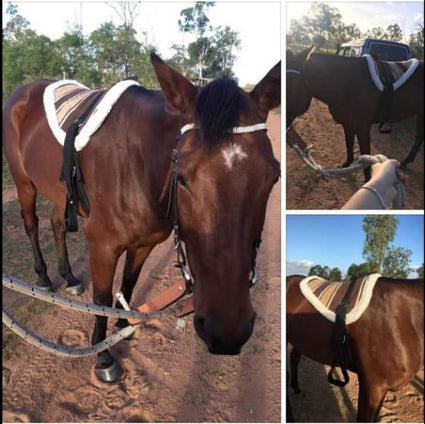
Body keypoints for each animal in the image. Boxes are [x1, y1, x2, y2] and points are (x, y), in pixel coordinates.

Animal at [3, 54, 282, 382]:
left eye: (273, 177)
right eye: (181, 177)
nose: (227, 332)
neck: (137, 166)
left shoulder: (144, 244)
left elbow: (128, 284)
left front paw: (124, 326)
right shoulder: (102, 246)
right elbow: (102, 299)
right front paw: (104, 355)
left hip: (58, 190)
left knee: (57, 224)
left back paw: (69, 277)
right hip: (24, 183)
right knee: (31, 224)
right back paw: (45, 278)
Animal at [286, 46, 422, 179]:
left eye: (290, 90)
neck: (348, 84)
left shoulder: (363, 127)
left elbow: (366, 155)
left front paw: (368, 180)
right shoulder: (348, 124)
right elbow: (349, 144)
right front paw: (346, 164)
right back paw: (405, 162)